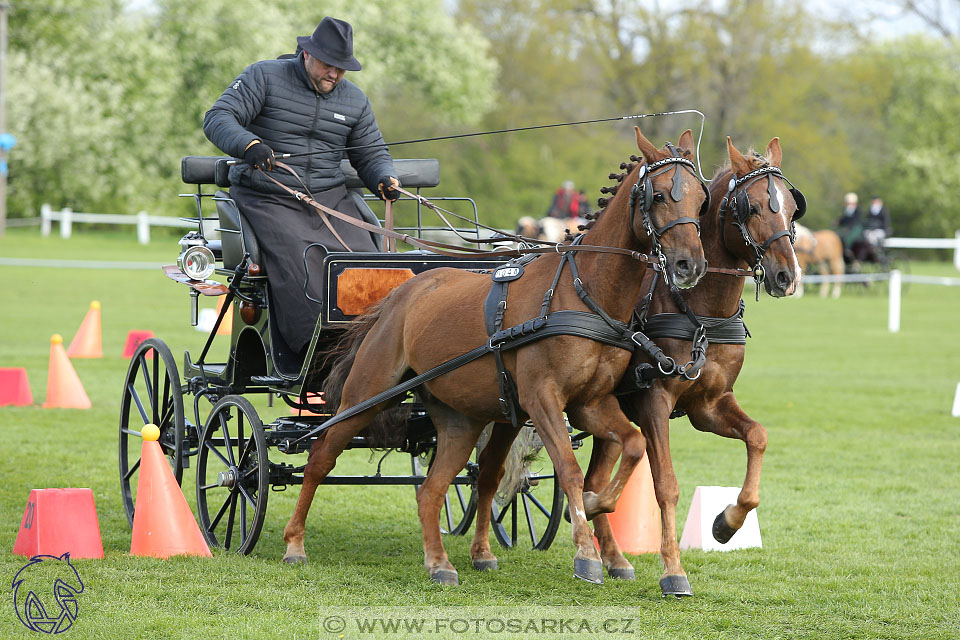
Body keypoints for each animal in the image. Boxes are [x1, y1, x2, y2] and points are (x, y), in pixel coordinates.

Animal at [468, 135, 808, 596]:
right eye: (751, 207)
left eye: (791, 207)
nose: (787, 277)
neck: (700, 312)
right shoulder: (653, 401)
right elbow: (665, 485)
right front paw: (673, 571)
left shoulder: (709, 405)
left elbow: (757, 437)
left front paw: (726, 523)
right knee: (489, 472)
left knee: (591, 472)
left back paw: (611, 555)